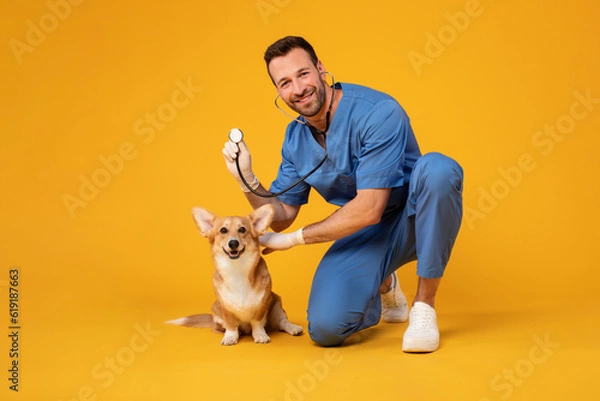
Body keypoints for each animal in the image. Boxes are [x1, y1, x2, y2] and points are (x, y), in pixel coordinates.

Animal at [166, 205, 302, 346]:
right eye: (223, 230)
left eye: (242, 229)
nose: (233, 243)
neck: (237, 270)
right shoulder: (226, 308)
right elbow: (231, 324)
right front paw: (230, 337)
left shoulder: (261, 305)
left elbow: (257, 323)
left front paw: (260, 335)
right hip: (216, 311)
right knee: (220, 327)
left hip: (276, 306)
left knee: (282, 322)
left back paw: (293, 328)